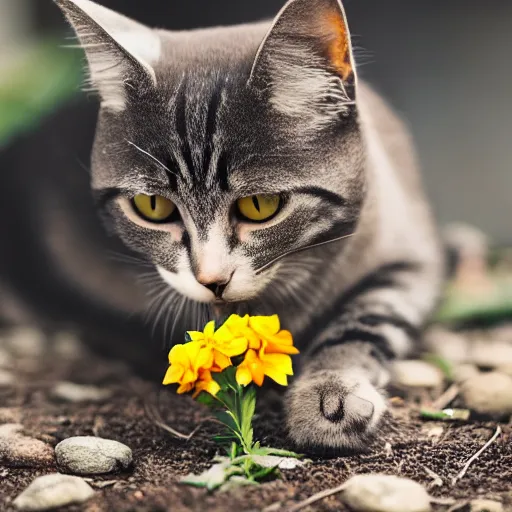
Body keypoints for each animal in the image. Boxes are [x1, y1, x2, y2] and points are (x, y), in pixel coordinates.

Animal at [55, 0, 444, 452]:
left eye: (260, 206)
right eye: (152, 206)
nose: (211, 279)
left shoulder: (411, 250)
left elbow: (371, 315)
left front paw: (330, 394)